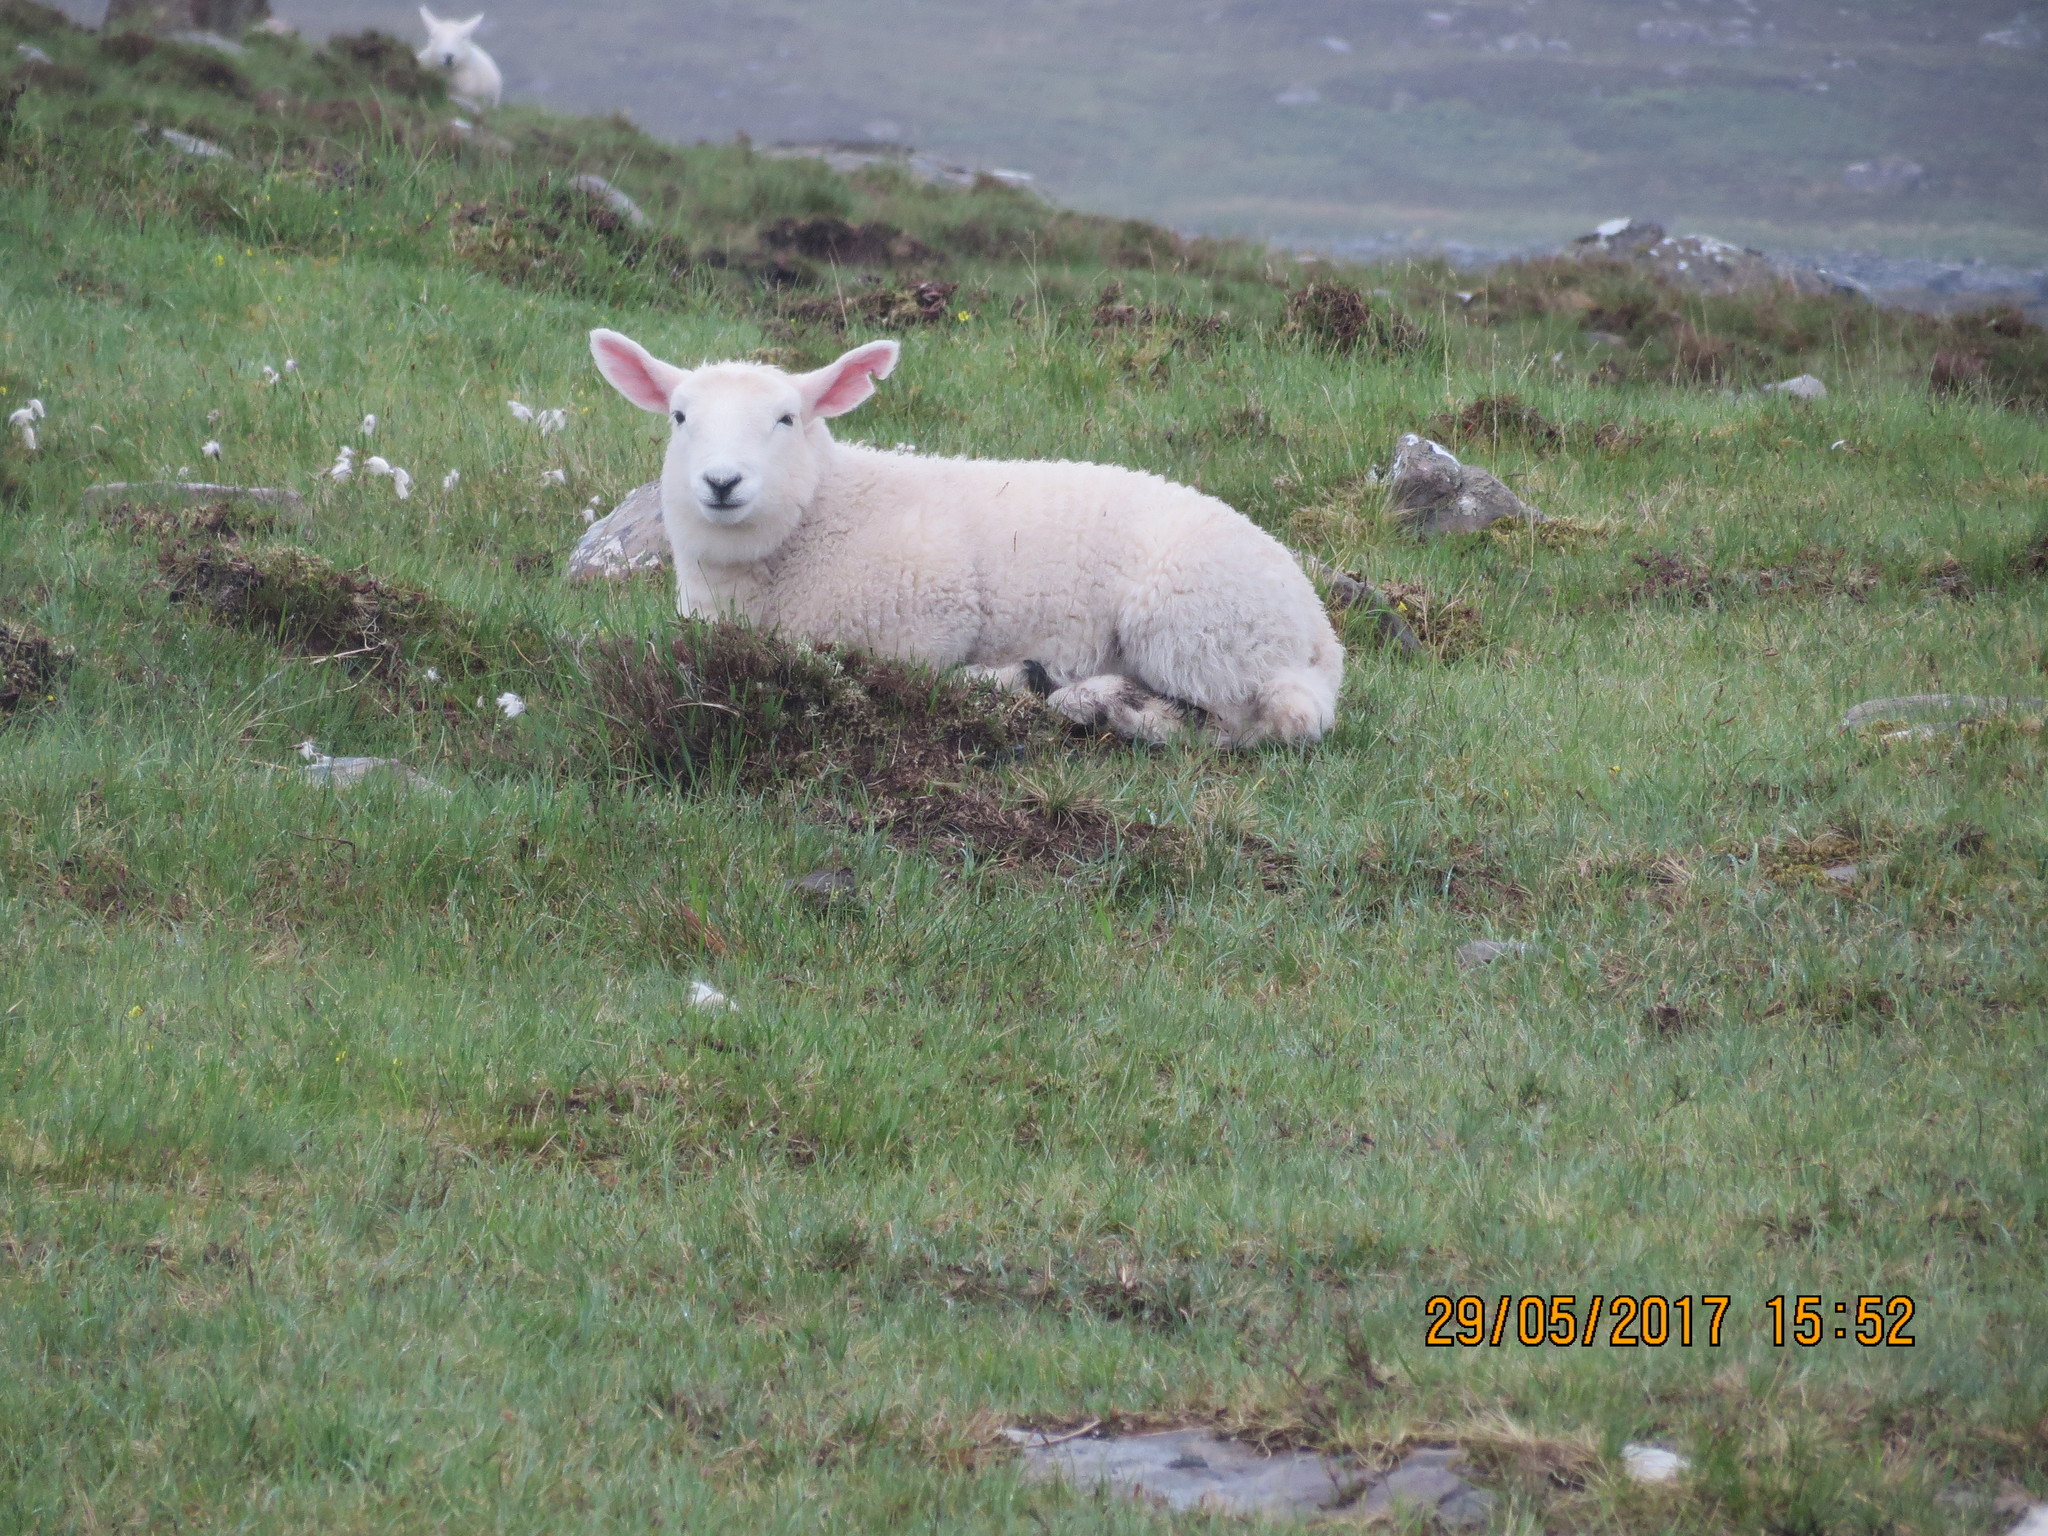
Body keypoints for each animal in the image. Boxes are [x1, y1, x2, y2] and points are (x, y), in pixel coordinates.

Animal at [585, 331, 1343, 753]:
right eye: (680, 416)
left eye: (786, 418)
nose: (721, 482)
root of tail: (1319, 637)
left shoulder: (922, 621)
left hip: (1193, 629)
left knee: (1252, 724)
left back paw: (1092, 704)